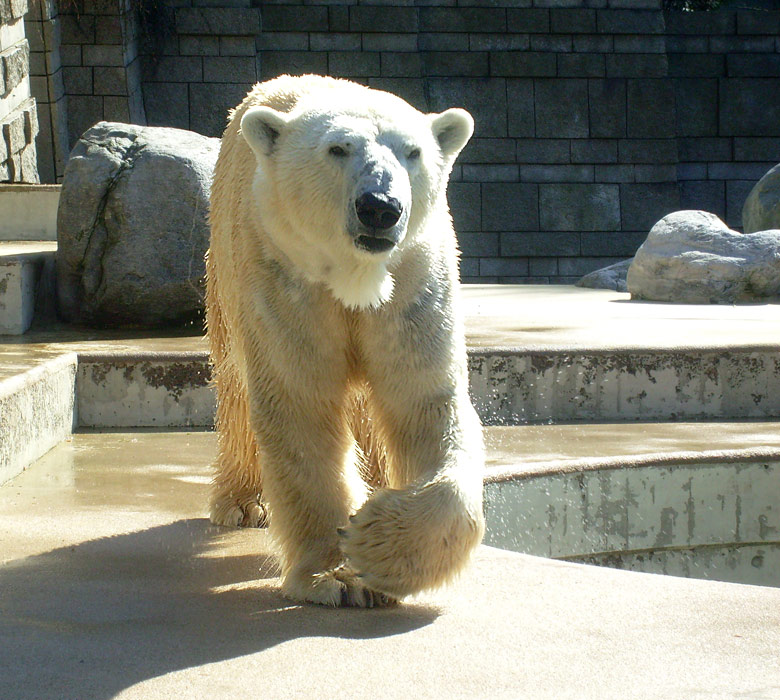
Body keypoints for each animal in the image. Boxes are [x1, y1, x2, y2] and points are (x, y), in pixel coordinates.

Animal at [207, 74, 488, 604]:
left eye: (413, 151)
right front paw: (334, 574)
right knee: (233, 385)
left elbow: (427, 402)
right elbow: (301, 407)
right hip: (225, 267)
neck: (354, 276)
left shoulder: (414, 282)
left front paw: (377, 545)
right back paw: (241, 502)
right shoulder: (283, 277)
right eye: (338, 148)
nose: (380, 208)